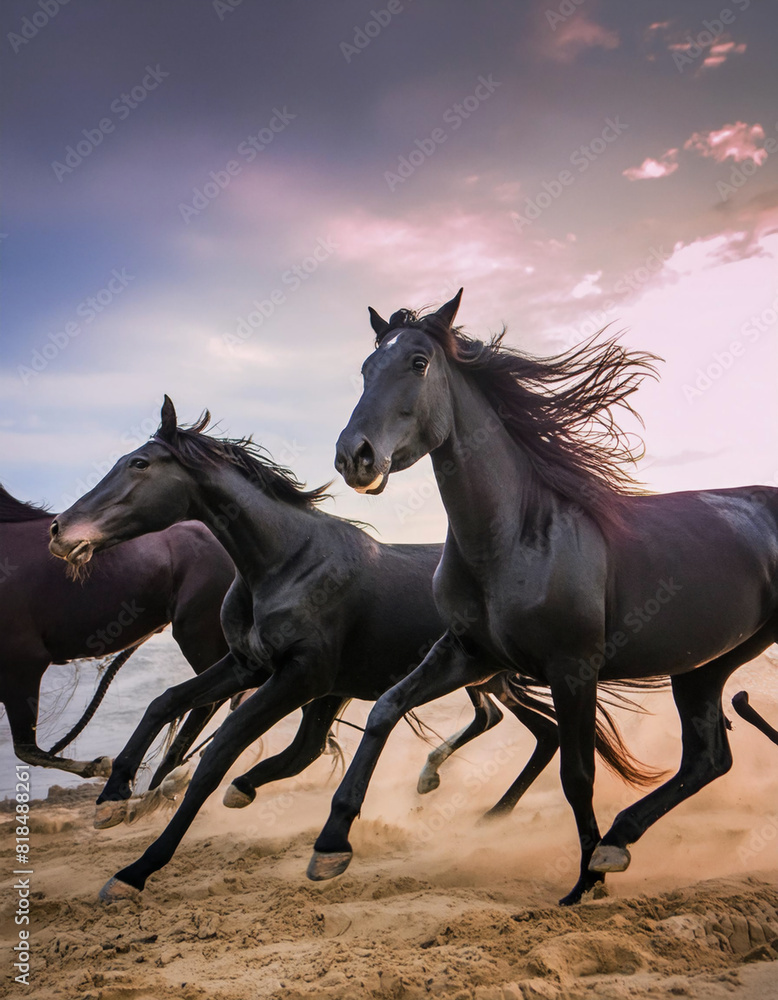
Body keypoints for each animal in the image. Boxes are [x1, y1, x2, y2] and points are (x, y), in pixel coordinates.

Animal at [47, 398, 662, 900]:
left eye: (139, 465)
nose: (59, 531)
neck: (285, 562)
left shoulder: (300, 677)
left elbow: (219, 754)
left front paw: (134, 871)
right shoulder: (251, 666)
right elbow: (168, 701)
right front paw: (114, 799)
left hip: (487, 675)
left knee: (537, 730)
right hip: (485, 675)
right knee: (540, 731)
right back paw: (482, 812)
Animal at [309, 289, 778, 905]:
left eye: (418, 362)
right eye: (366, 368)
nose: (354, 457)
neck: (515, 536)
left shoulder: (572, 667)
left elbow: (578, 775)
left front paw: (584, 884)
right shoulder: (470, 654)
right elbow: (386, 708)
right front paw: (330, 843)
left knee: (702, 760)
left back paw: (609, 849)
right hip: (704, 664)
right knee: (708, 760)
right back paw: (619, 840)